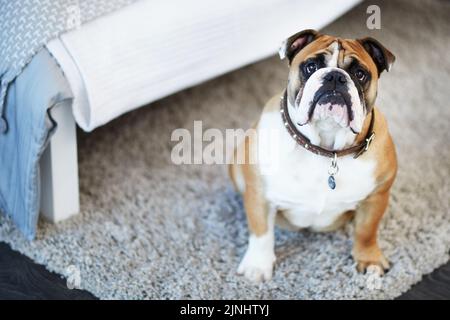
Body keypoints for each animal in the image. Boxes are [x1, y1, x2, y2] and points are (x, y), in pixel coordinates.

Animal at [230, 30, 396, 284]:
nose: (335, 77)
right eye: (311, 66)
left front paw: (369, 260)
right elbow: (261, 232)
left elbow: (367, 231)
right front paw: (258, 265)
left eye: (360, 74)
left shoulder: (377, 196)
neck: (326, 147)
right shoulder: (260, 195)